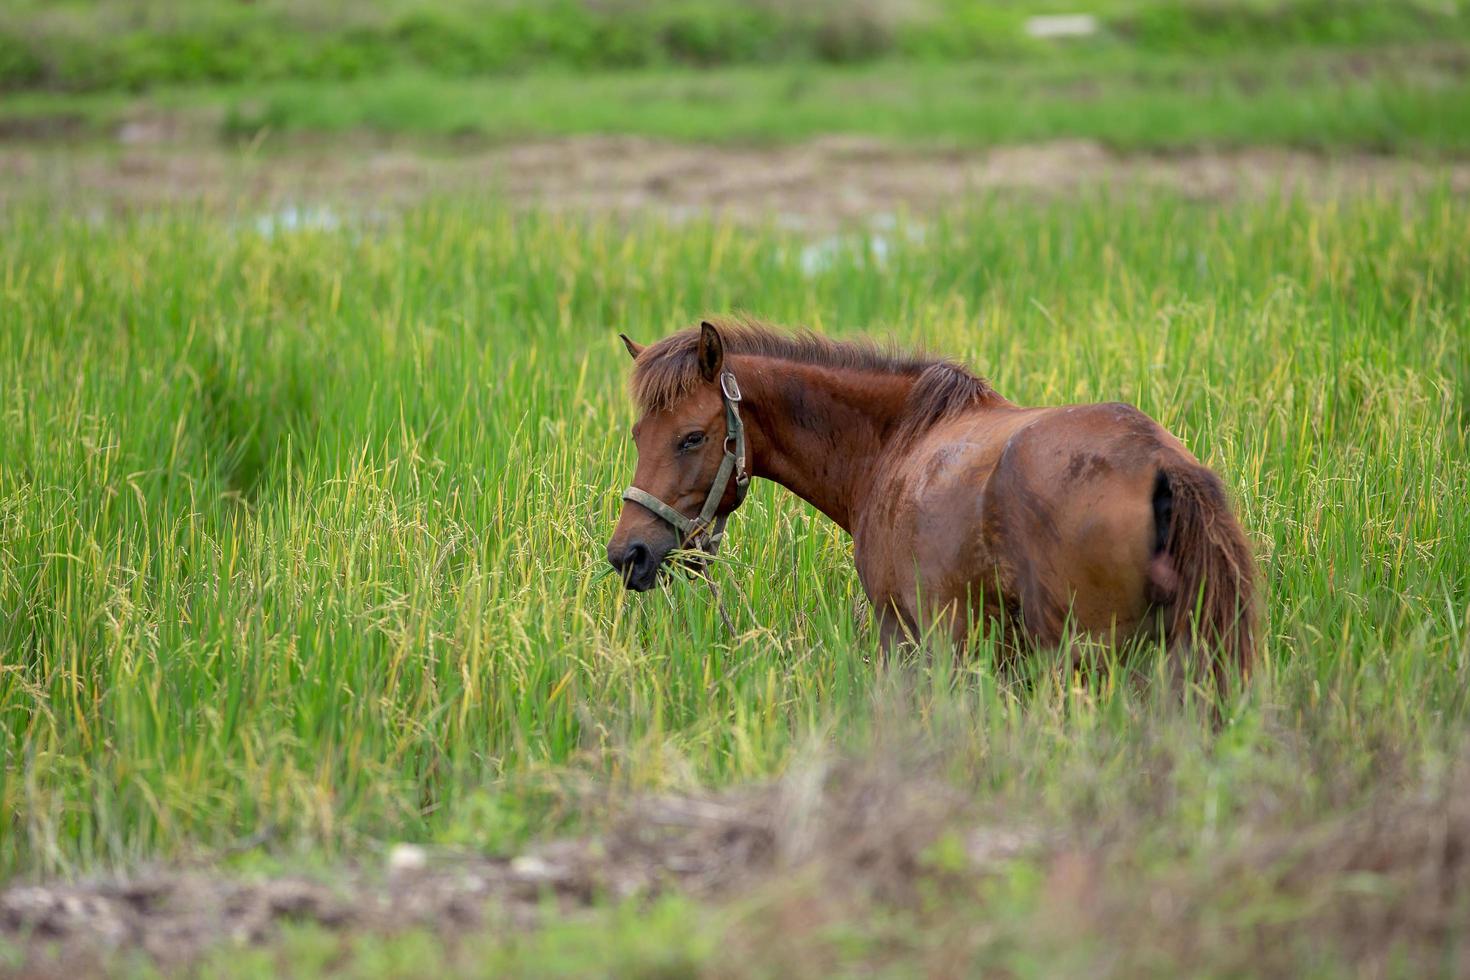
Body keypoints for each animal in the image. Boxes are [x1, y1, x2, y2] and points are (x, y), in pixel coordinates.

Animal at [602, 320, 1258, 681]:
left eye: (691, 437)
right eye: (636, 434)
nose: (627, 553)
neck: (896, 439)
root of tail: (1160, 463)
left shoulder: (907, 633)